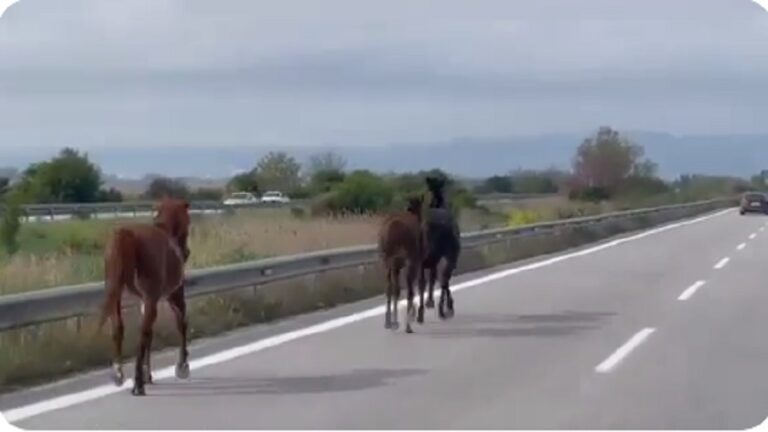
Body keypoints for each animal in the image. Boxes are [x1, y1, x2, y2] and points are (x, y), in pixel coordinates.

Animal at [97, 197, 192, 396]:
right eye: (188, 222)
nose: (186, 253)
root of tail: (126, 235)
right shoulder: (173, 295)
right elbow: (181, 324)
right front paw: (182, 366)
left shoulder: (146, 300)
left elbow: (150, 333)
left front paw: (148, 374)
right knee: (143, 332)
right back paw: (138, 384)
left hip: (116, 293)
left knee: (119, 328)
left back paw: (119, 374)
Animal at [378, 196, 426, 334]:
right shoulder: (417, 260)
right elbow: (418, 285)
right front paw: (418, 315)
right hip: (401, 260)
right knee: (401, 288)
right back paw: (403, 324)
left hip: (387, 261)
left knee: (390, 288)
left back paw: (389, 322)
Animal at [416, 176, 460, 324]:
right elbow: (440, 280)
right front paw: (448, 305)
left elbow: (432, 279)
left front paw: (430, 302)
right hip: (447, 257)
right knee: (443, 280)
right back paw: (444, 310)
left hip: (429, 258)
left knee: (428, 281)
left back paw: (422, 313)